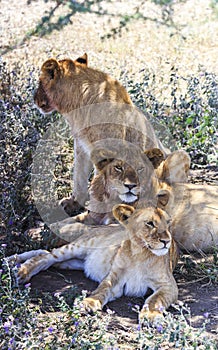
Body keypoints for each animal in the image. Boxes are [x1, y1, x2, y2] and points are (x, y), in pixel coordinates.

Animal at [7, 202, 180, 322]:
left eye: (168, 223)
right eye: (150, 223)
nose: (167, 241)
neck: (140, 253)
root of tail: (96, 227)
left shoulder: (168, 286)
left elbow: (155, 300)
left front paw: (151, 315)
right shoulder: (114, 278)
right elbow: (102, 289)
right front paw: (89, 302)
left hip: (72, 262)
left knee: (45, 256)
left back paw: (12, 262)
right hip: (77, 247)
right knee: (45, 256)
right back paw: (19, 270)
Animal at [34, 52, 169, 216]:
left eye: (40, 82)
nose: (34, 99)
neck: (78, 107)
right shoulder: (81, 146)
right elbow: (79, 176)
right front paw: (74, 203)